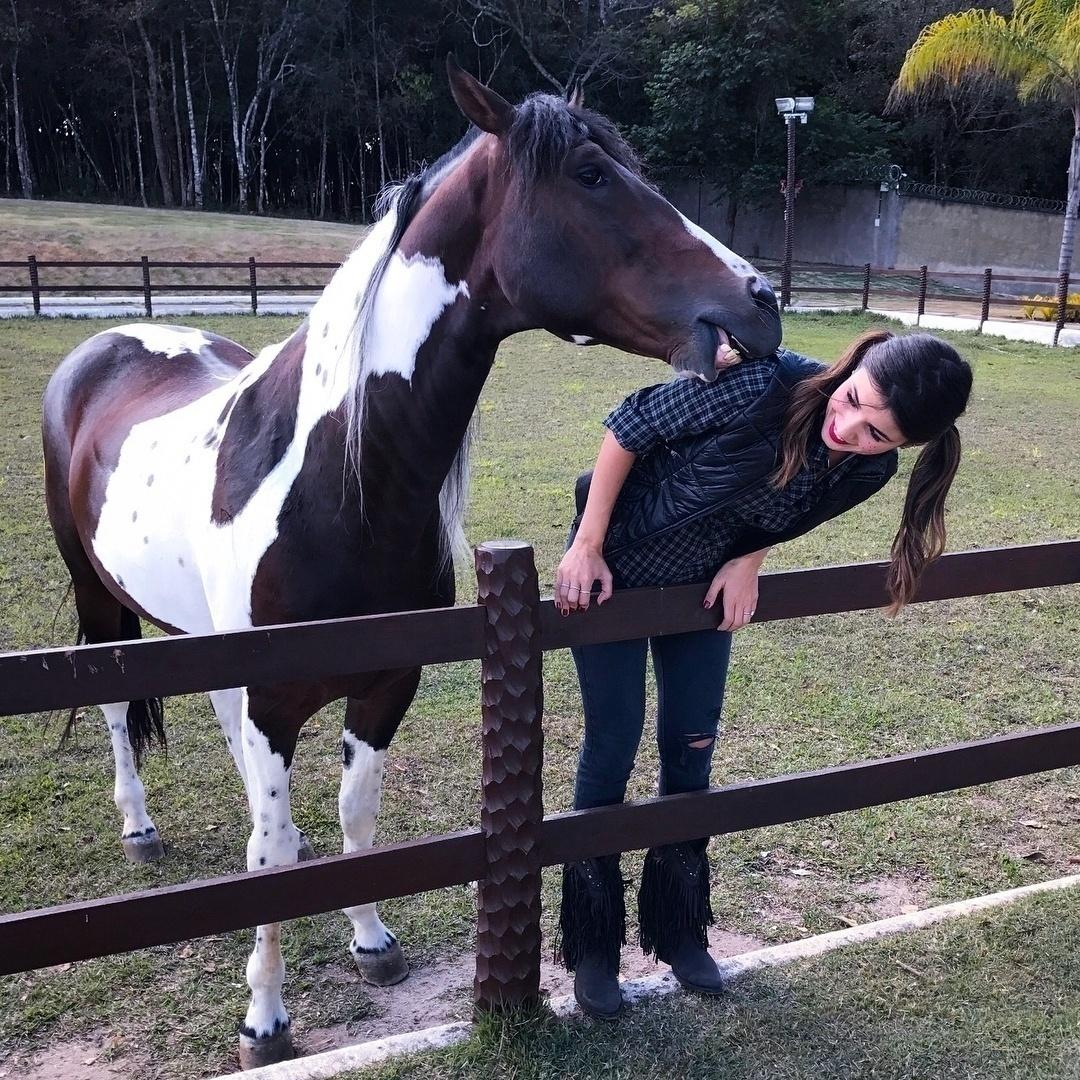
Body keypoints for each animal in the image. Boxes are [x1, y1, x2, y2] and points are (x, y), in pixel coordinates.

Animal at [41, 58, 781, 1067]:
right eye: (592, 174)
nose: (761, 298)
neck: (338, 483)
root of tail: (103, 346)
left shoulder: (387, 685)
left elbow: (355, 817)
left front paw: (370, 942)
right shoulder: (276, 698)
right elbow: (269, 855)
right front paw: (264, 1019)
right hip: (99, 596)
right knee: (120, 709)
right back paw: (139, 826)